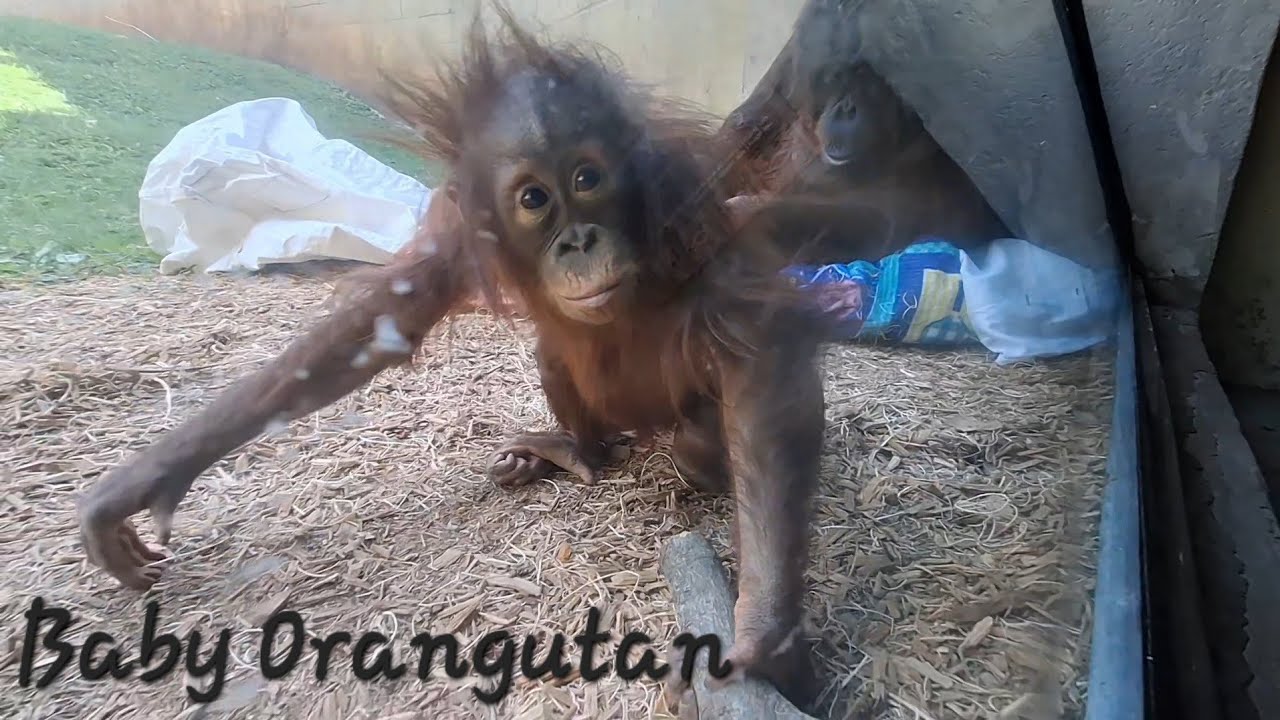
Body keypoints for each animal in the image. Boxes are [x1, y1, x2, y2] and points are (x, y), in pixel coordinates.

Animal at [76, 7, 828, 709]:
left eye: (587, 177)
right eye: (534, 198)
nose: (579, 240)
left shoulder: (692, 210)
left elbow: (757, 357)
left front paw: (761, 639)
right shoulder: (462, 230)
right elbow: (380, 326)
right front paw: (137, 486)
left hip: (681, 426)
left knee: (698, 444)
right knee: (558, 369)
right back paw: (565, 452)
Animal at [717, 0, 1011, 265]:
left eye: (872, 82)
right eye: (836, 76)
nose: (847, 109)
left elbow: (891, 221)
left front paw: (744, 213)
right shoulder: (792, 59)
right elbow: (749, 122)